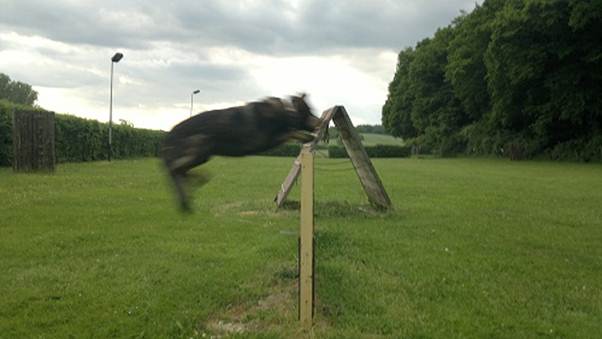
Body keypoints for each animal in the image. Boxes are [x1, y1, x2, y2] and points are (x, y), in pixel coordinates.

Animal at [159, 93, 318, 212]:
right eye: (310, 111)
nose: (320, 121)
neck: (285, 111)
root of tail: (168, 136)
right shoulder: (267, 138)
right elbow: (290, 132)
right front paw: (307, 136)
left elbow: (290, 131)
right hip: (201, 147)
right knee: (175, 169)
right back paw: (193, 182)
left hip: (203, 154)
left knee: (181, 172)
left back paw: (193, 184)